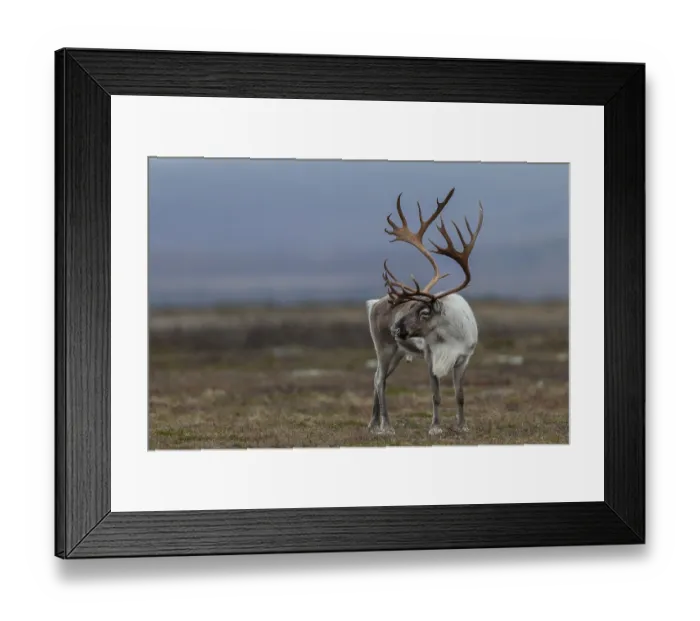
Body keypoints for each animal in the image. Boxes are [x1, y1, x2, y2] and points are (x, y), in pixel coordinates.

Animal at [365, 187, 484, 436]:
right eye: (411, 306)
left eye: (424, 312)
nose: (395, 328)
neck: (451, 334)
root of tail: (375, 303)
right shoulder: (431, 357)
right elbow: (435, 395)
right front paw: (435, 427)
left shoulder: (464, 359)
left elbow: (460, 395)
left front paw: (462, 426)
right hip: (385, 348)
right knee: (380, 380)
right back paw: (385, 425)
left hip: (399, 353)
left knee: (376, 377)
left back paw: (373, 423)